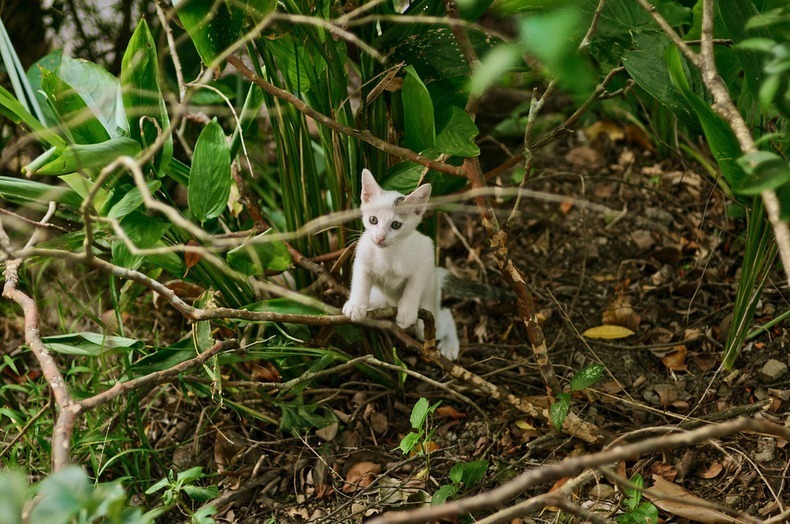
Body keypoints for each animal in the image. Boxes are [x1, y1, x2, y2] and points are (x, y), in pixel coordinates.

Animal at [342, 170, 464, 358]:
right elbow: (360, 279)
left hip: (429, 312)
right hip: (379, 300)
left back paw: (450, 345)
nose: (380, 237)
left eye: (396, 225)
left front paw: (407, 311)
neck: (387, 254)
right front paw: (355, 305)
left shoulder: (426, 250)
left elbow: (415, 283)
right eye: (373, 220)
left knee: (444, 317)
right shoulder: (362, 255)